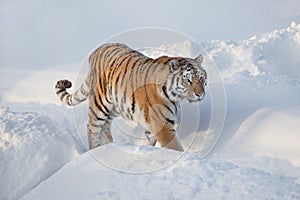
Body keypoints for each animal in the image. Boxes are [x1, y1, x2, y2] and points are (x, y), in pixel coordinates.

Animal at [54, 42, 206, 152]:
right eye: (188, 80)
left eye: (201, 78)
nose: (200, 94)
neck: (176, 96)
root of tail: (97, 50)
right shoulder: (161, 123)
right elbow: (174, 146)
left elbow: (151, 139)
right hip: (100, 105)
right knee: (92, 127)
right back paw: (96, 150)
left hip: (116, 107)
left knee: (105, 126)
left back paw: (108, 146)